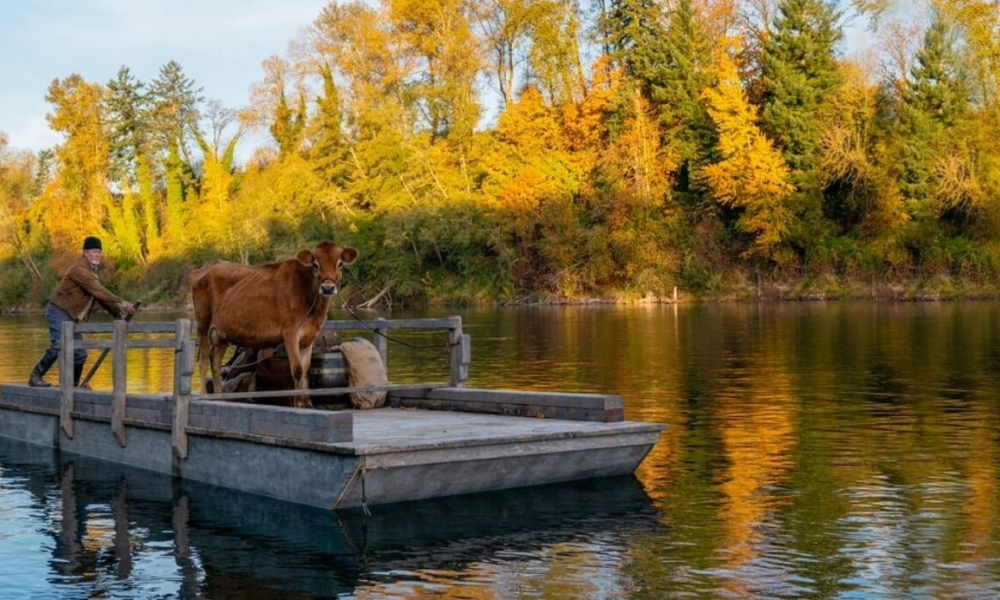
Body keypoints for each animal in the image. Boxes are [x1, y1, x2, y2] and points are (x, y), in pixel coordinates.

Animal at [189, 240, 358, 408]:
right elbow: (297, 370)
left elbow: (306, 370)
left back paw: (219, 396)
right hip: (203, 324)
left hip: (222, 333)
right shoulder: (290, 334)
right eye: (315, 265)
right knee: (204, 359)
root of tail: (209, 266)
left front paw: (307, 402)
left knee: (215, 361)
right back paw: (203, 395)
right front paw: (297, 402)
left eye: (340, 263)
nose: (328, 288)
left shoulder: (309, 337)